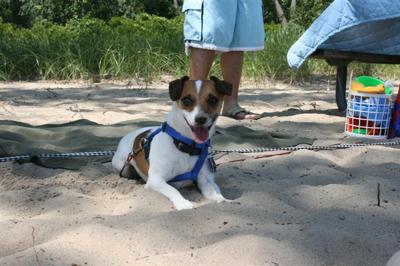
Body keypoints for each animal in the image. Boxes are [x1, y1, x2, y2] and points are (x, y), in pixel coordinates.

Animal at [111, 75, 231, 210]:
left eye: (212, 100)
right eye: (186, 100)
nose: (200, 119)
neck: (187, 147)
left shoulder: (205, 180)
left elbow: (213, 191)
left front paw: (221, 199)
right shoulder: (156, 179)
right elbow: (172, 189)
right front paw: (183, 203)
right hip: (121, 166)